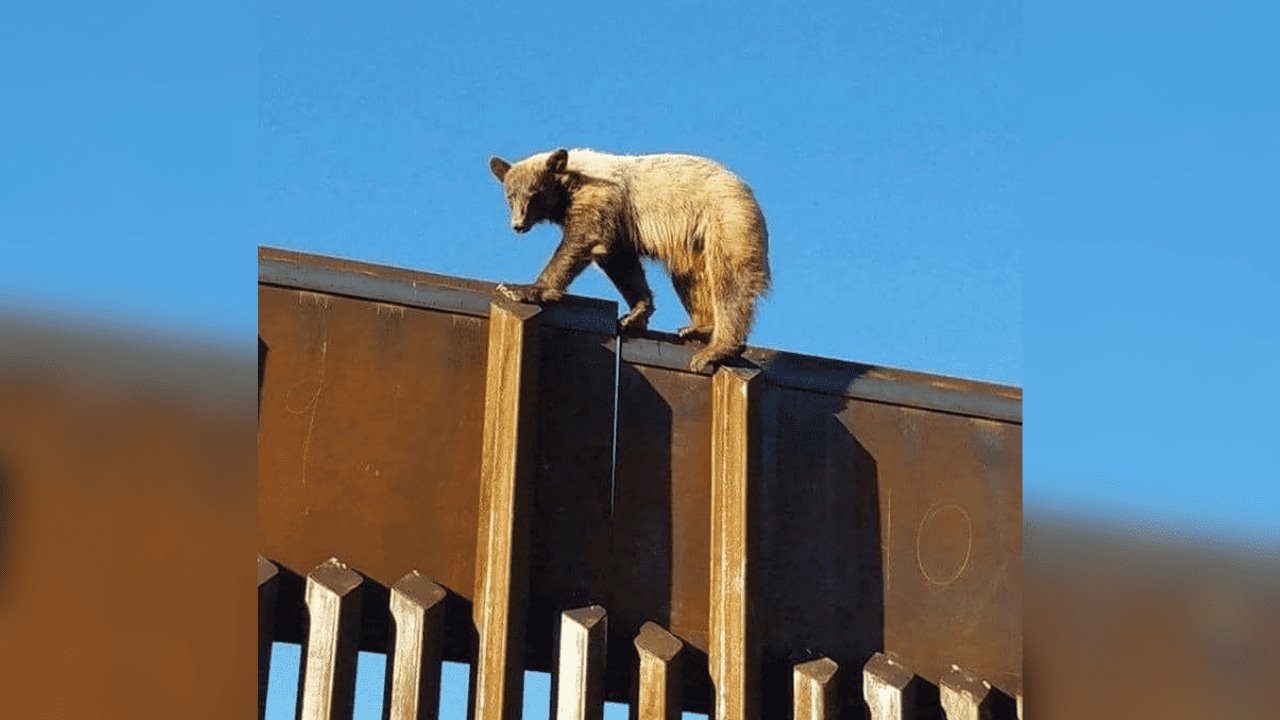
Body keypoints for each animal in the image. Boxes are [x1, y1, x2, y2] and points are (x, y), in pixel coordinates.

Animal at [488, 146, 768, 368]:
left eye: (533, 193)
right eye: (510, 196)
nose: (518, 225)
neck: (570, 184)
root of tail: (747, 190)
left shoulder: (598, 199)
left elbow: (581, 240)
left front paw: (521, 289)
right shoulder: (618, 224)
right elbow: (621, 263)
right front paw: (635, 313)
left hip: (724, 222)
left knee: (728, 282)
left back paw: (715, 349)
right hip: (694, 243)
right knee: (692, 280)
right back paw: (698, 328)